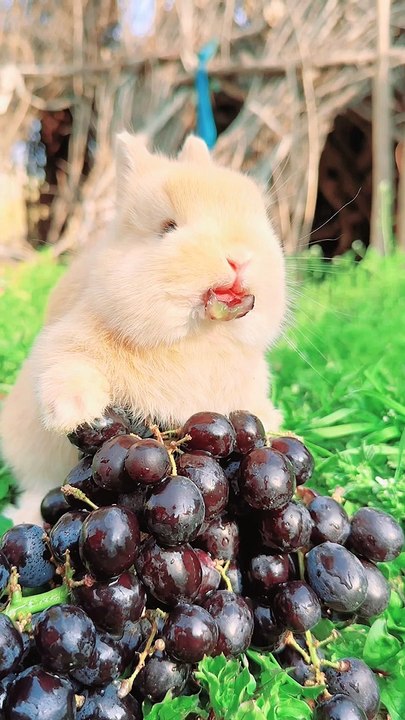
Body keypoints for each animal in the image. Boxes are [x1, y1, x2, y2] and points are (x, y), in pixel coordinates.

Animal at [0, 132, 287, 525]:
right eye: (168, 228)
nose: (240, 258)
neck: (196, 339)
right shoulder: (65, 343)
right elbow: (69, 366)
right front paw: (75, 411)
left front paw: (276, 423)